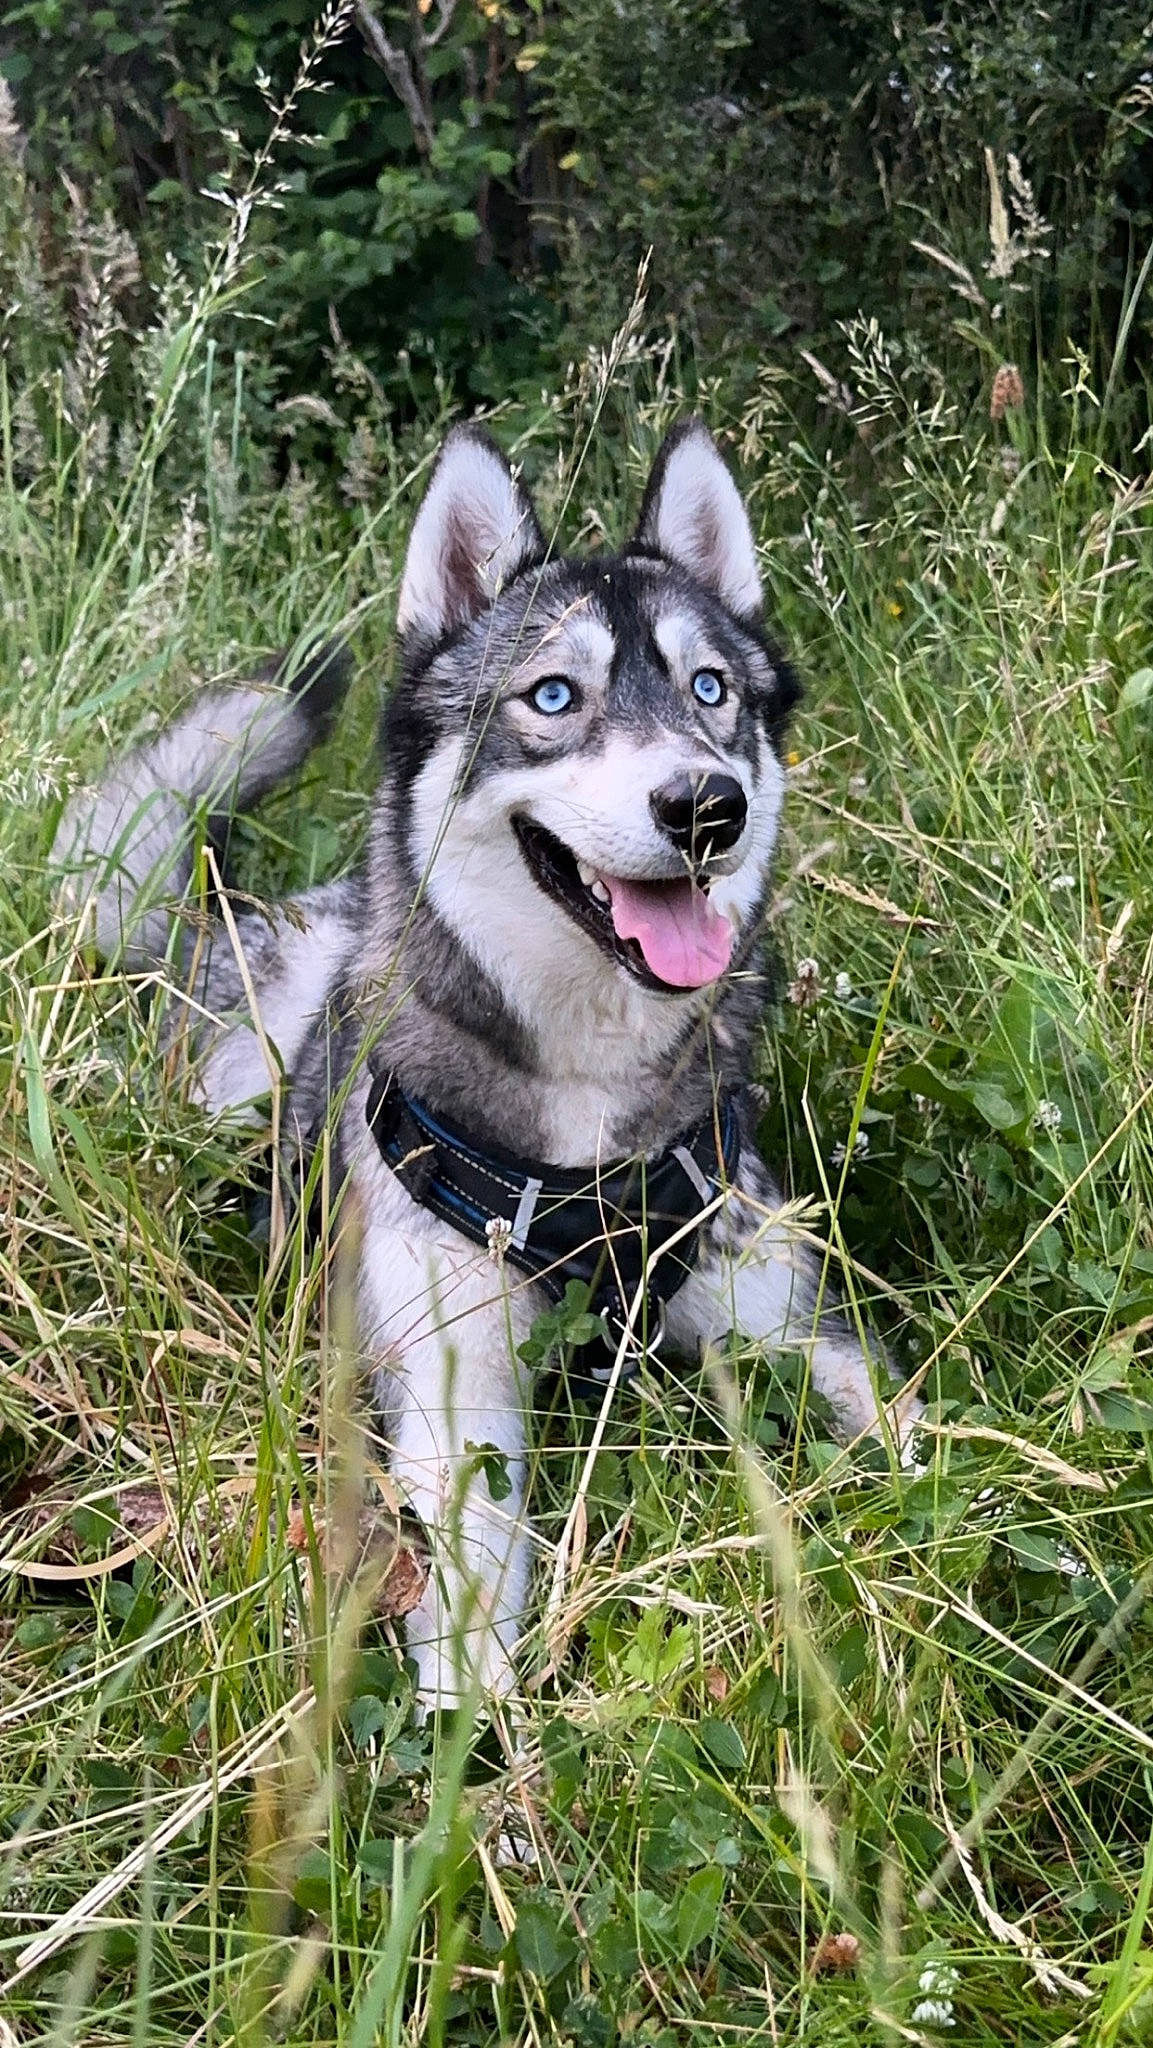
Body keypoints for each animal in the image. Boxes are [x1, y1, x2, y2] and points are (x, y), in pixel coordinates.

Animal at [53, 419, 921, 1707]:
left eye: (710, 689)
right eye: (553, 695)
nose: (704, 806)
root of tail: (241, 915)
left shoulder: (792, 1318)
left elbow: (926, 1434)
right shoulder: (455, 1403)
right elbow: (467, 1627)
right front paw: (489, 1760)